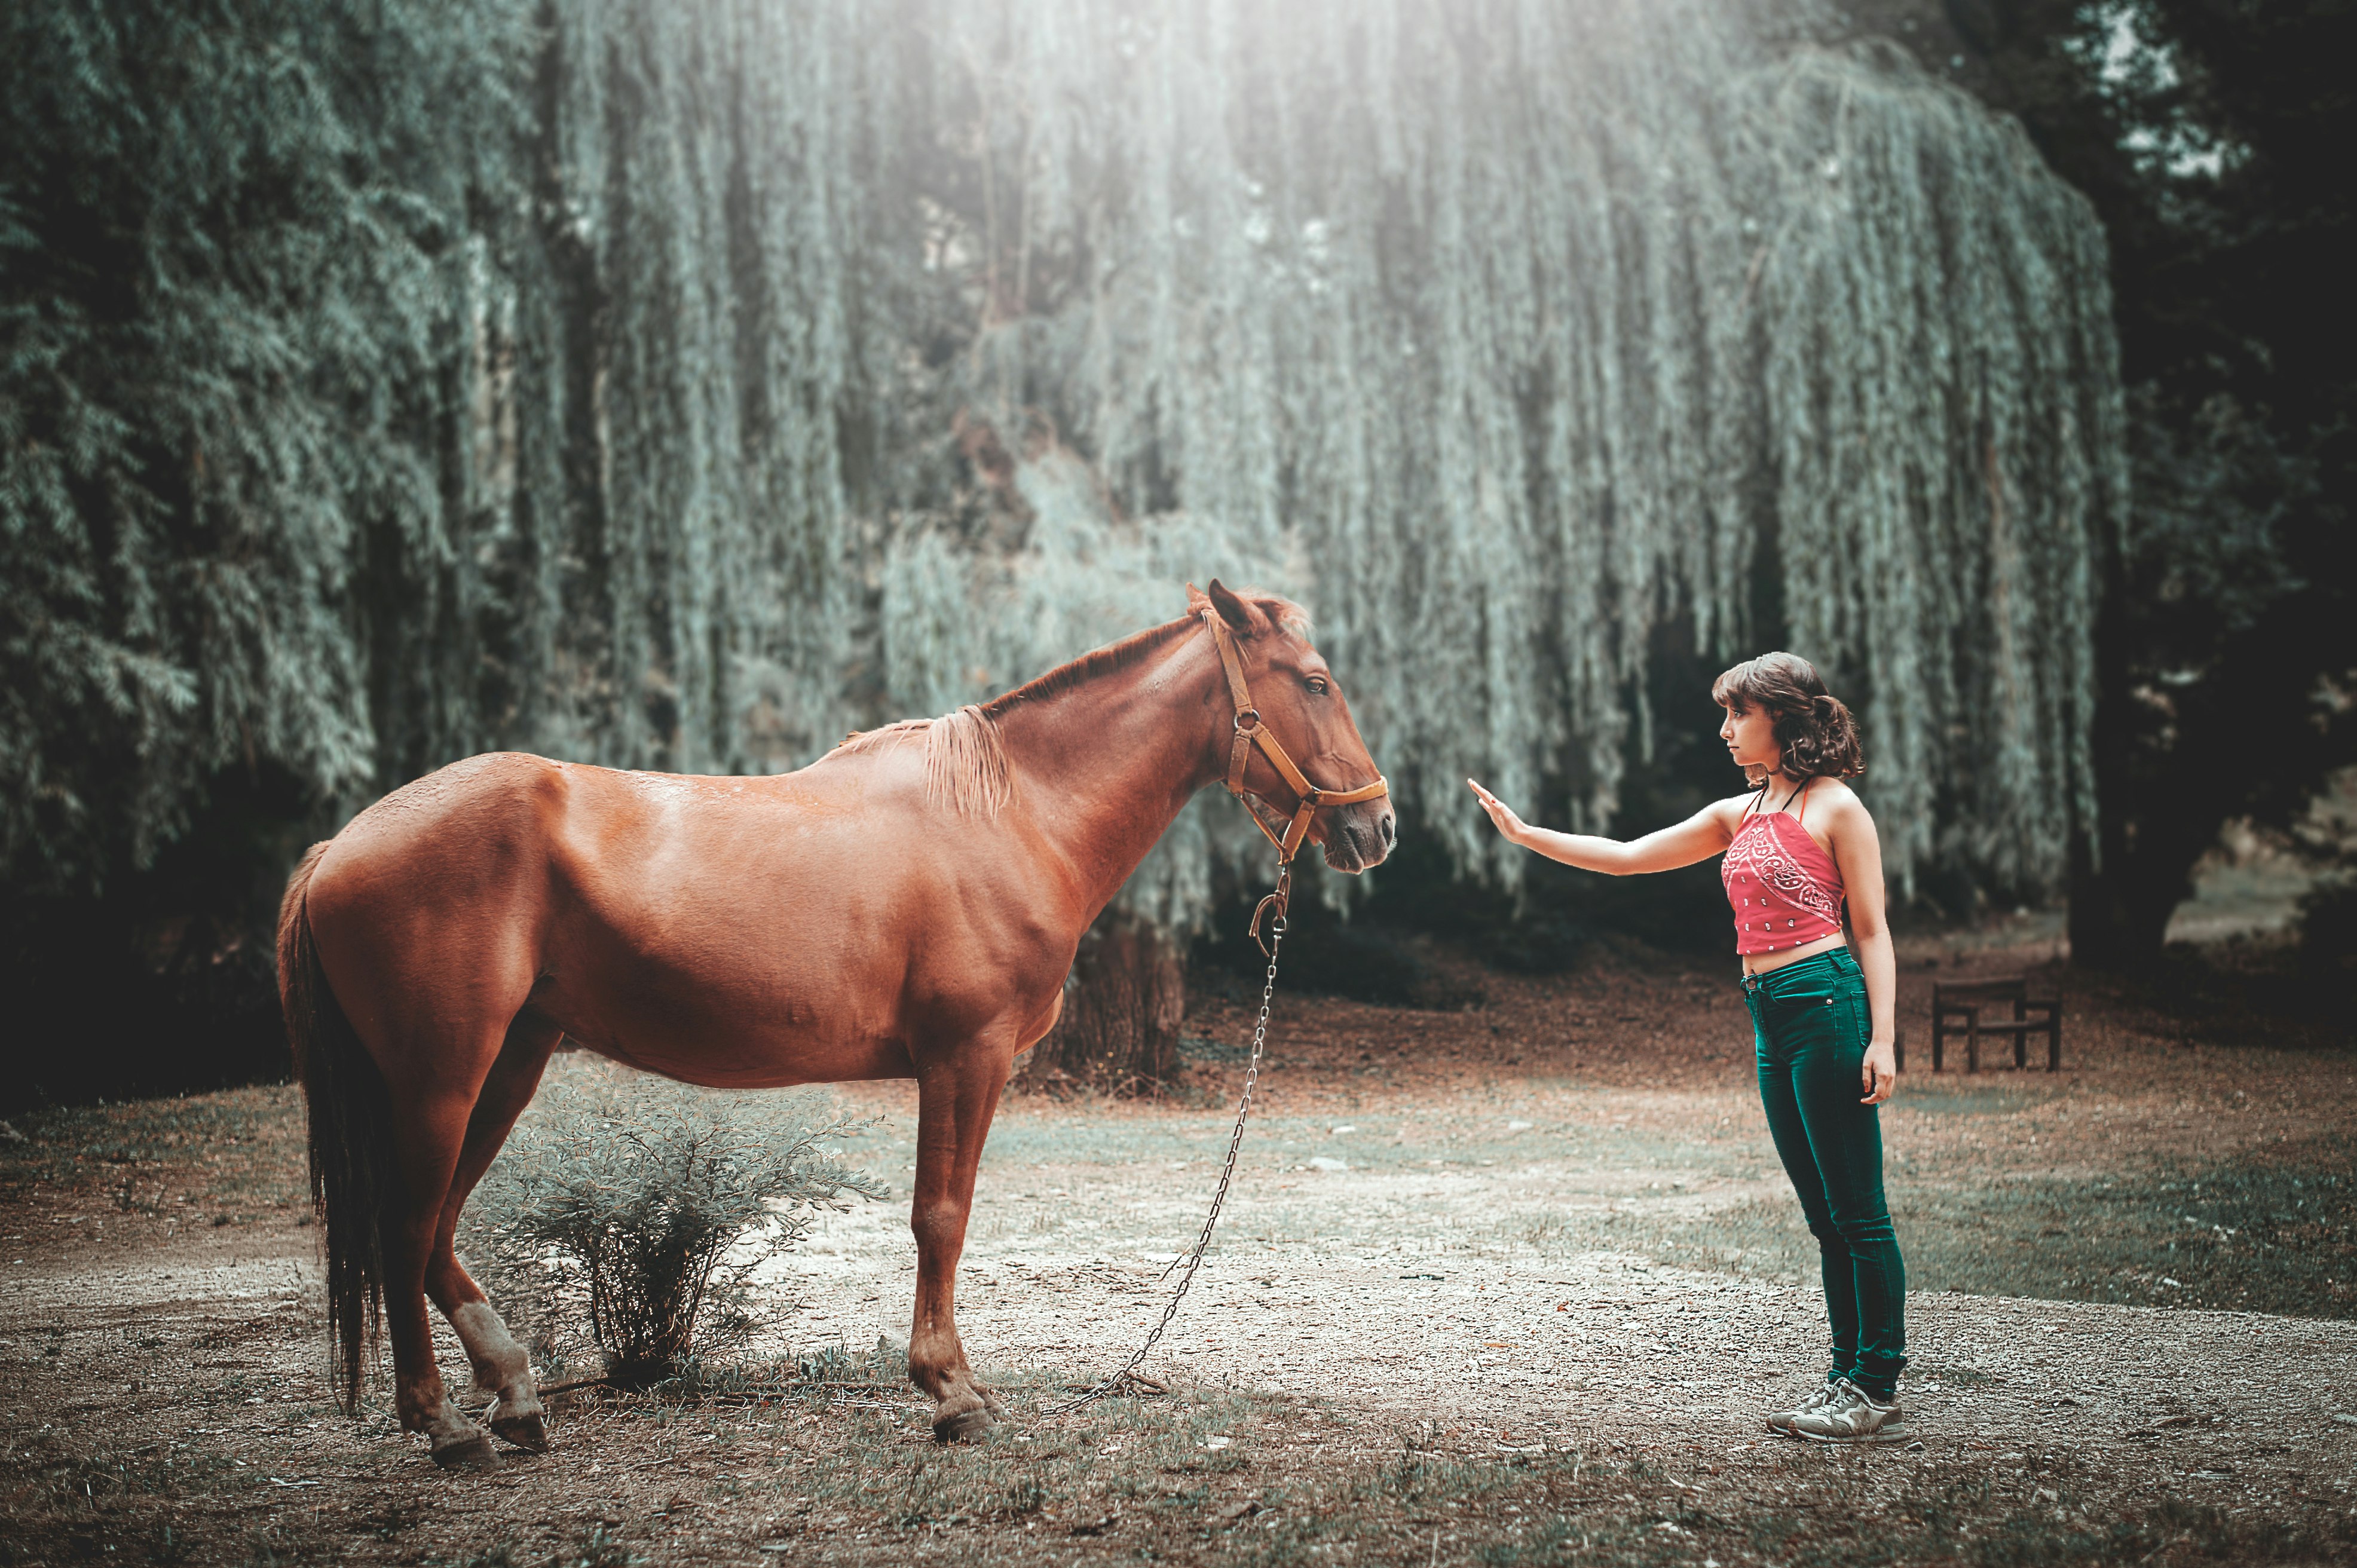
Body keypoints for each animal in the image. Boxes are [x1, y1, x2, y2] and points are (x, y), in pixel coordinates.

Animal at [271, 577, 1395, 1471]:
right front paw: (952, 1394)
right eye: (1313, 679)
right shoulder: (965, 1057)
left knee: (432, 1230)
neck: (1008, 811)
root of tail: (338, 846)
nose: (1376, 827)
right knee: (404, 1226)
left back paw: (513, 1397)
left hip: (507, 1063)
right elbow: (941, 1217)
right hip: (441, 1078)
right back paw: (446, 1425)